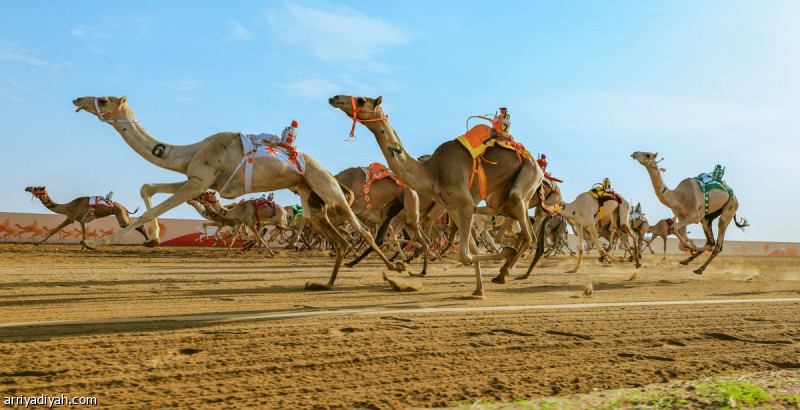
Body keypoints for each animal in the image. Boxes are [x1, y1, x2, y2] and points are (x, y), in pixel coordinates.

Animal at [73, 95, 406, 288]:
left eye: (104, 99)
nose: (79, 99)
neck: (192, 150)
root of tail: (325, 171)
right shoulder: (199, 180)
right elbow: (147, 187)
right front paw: (153, 239)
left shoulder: (198, 181)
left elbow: (153, 208)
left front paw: (94, 244)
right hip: (312, 199)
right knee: (338, 238)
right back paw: (327, 283)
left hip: (329, 190)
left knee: (361, 230)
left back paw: (395, 267)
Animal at [324, 95, 552, 294]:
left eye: (362, 99)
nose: (335, 98)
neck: (431, 172)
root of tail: (537, 165)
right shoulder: (454, 209)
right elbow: (471, 251)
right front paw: (478, 290)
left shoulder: (465, 205)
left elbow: (465, 254)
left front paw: (503, 253)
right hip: (500, 201)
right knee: (524, 228)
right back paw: (503, 270)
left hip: (524, 183)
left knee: (529, 233)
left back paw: (504, 271)